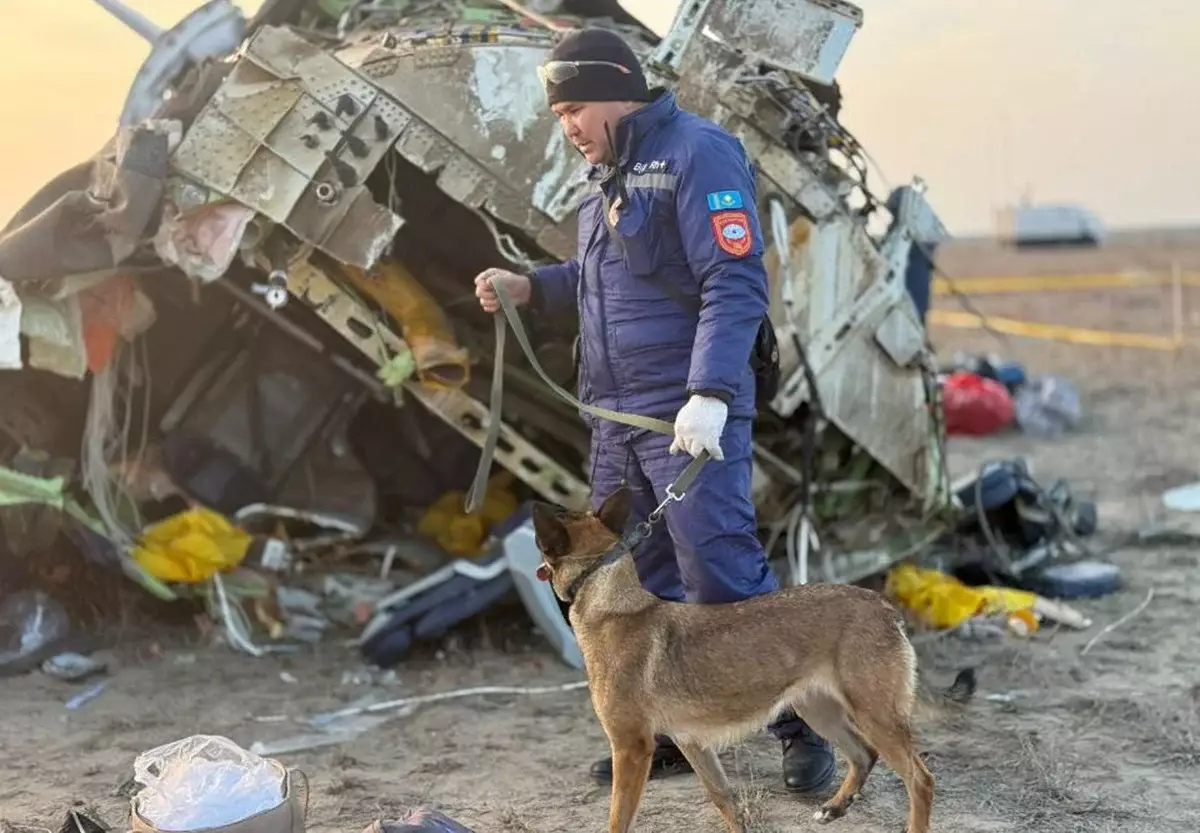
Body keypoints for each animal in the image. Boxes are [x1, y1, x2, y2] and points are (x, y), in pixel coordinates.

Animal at [535, 489, 974, 833]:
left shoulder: (630, 749)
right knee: (864, 754)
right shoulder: (692, 743)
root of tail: (883, 606)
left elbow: (617, 819)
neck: (611, 601)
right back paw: (835, 807)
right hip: (820, 710)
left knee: (920, 779)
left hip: (874, 715)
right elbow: (724, 800)